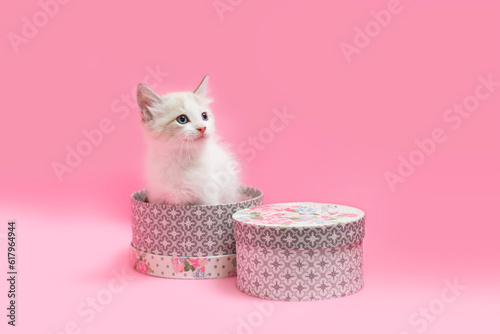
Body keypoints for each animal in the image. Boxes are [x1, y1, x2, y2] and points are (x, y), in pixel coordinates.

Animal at [135, 76, 240, 205]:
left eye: (204, 116)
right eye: (182, 119)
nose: (202, 128)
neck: (180, 160)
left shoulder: (208, 199)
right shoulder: (157, 198)